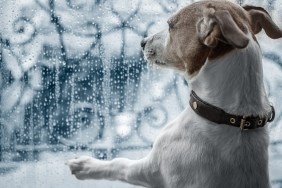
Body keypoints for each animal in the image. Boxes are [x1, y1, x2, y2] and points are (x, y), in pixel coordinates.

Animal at [67, 0, 282, 187]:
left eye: (170, 26)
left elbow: (119, 164)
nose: (142, 42)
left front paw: (85, 165)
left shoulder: (151, 170)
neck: (230, 116)